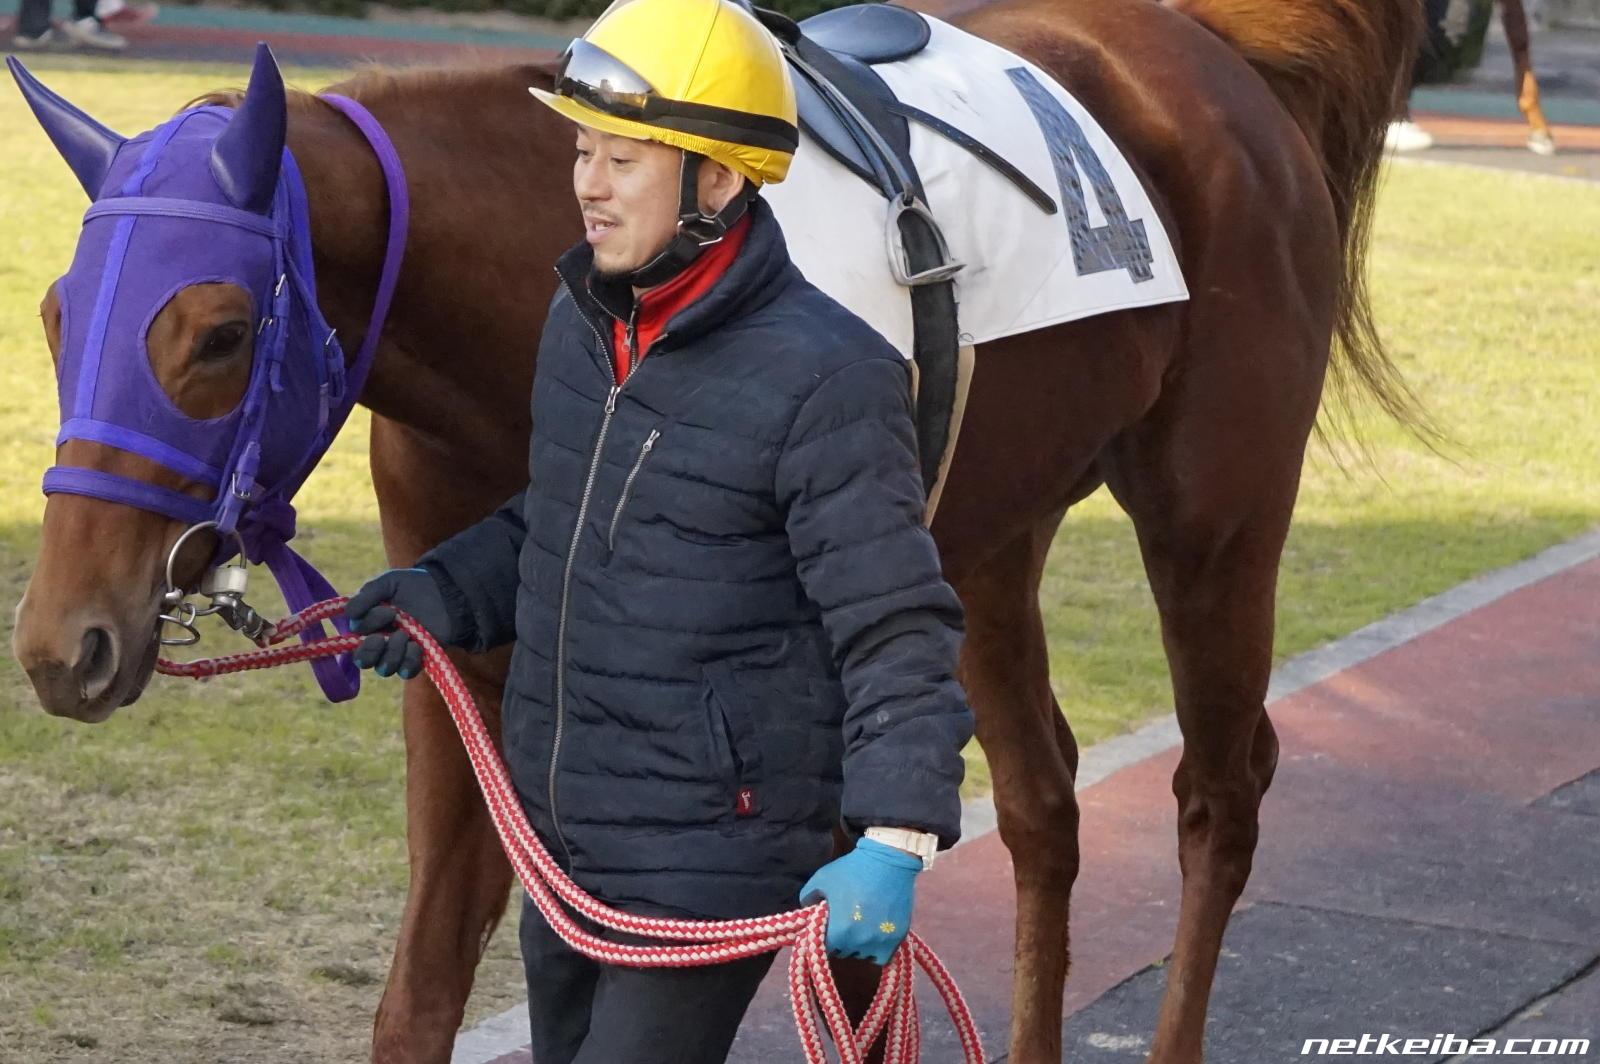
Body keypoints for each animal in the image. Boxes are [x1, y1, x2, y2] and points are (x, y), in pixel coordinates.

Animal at [9, 0, 1423, 1059]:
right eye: (54, 310)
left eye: (217, 332)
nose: (62, 642)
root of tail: (1203, 48)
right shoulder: (472, 665)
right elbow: (426, 980)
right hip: (982, 534)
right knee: (1042, 800)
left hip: (1217, 512)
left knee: (1218, 794)